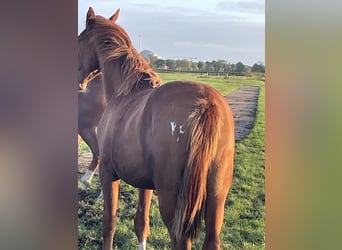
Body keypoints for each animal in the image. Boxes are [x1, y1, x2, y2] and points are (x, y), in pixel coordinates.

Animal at [78, 6, 235, 249]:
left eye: (79, 41)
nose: (80, 83)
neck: (125, 93)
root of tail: (207, 104)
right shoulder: (145, 184)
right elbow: (141, 224)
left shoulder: (108, 172)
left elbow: (109, 224)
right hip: (216, 197)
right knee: (212, 240)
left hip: (173, 202)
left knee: (180, 240)